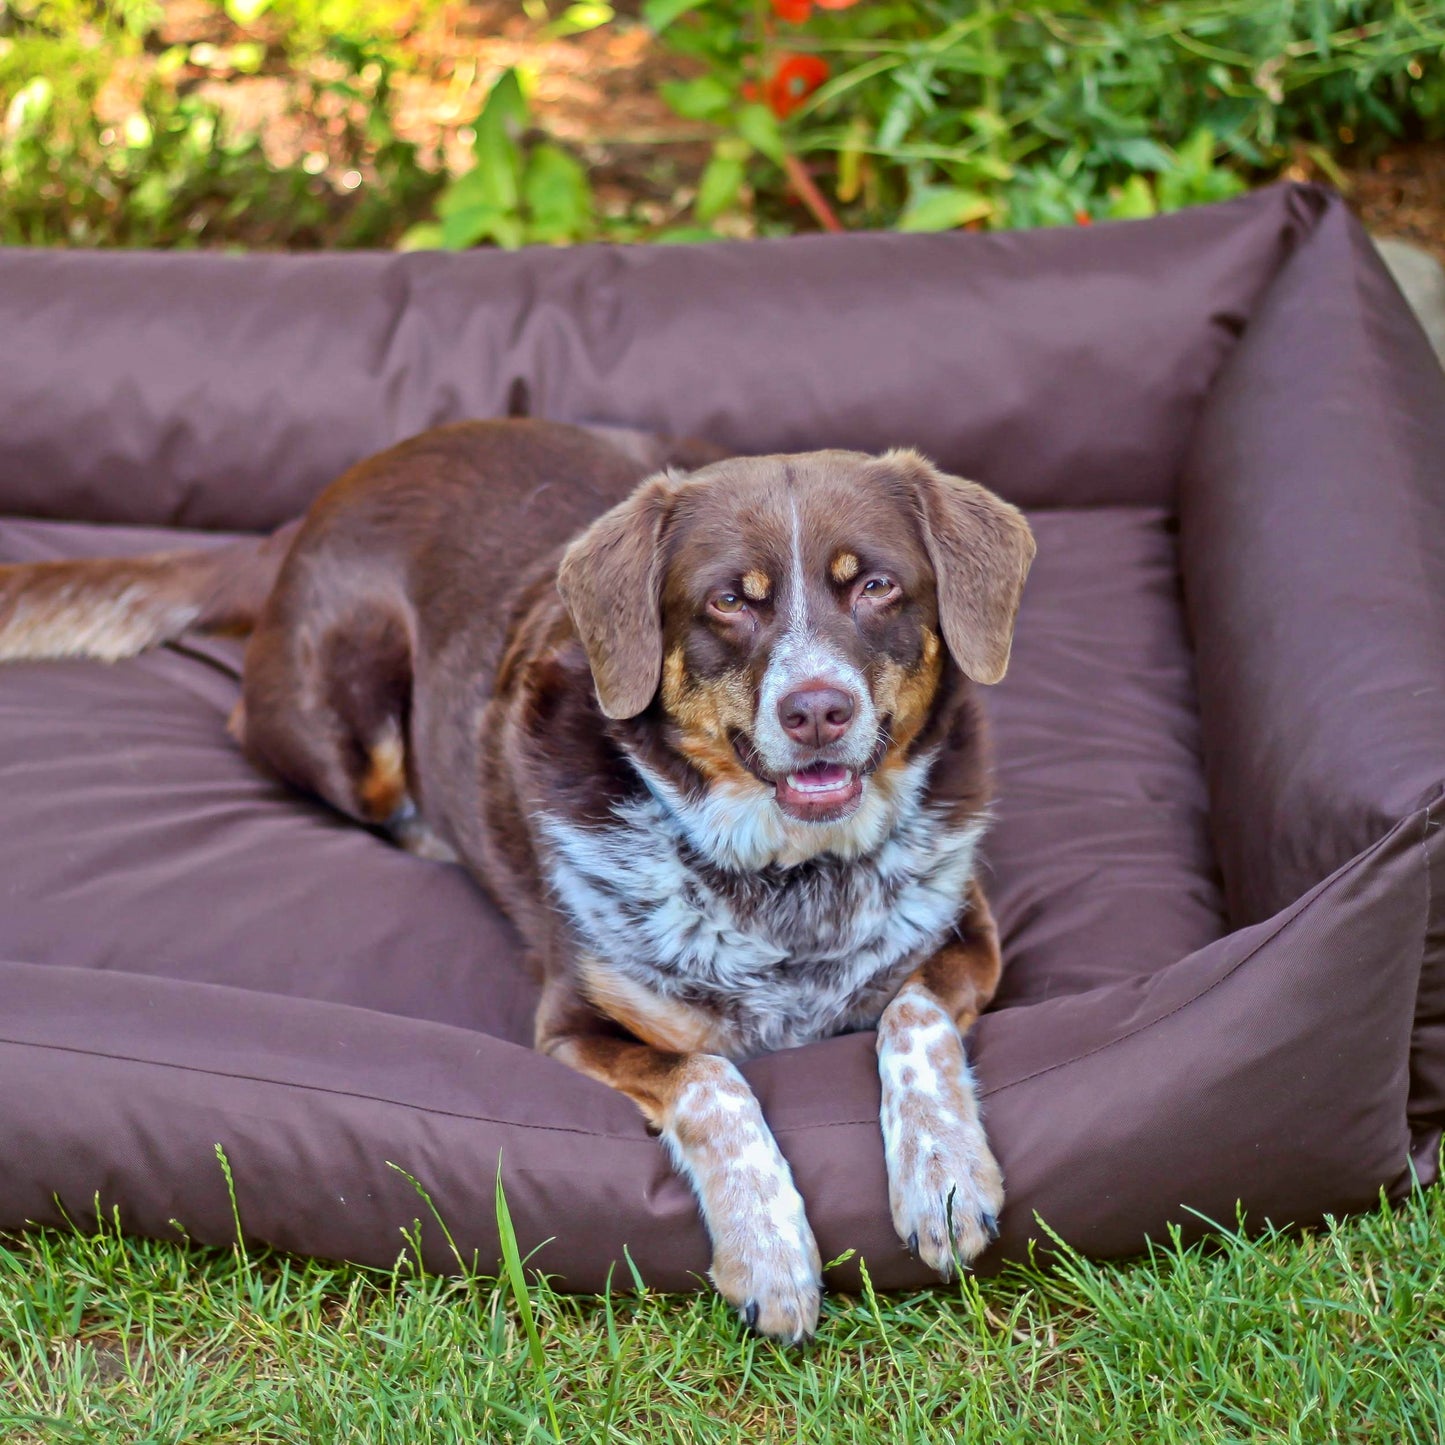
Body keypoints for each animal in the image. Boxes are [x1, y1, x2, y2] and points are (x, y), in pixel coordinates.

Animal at [2, 416, 1040, 1340]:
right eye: (727, 602)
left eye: (877, 585)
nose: (817, 709)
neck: (788, 884)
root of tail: (304, 516)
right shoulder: (574, 1026)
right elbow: (712, 1078)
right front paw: (769, 1250)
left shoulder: (970, 932)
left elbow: (910, 1014)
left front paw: (941, 1173)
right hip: (350, 709)